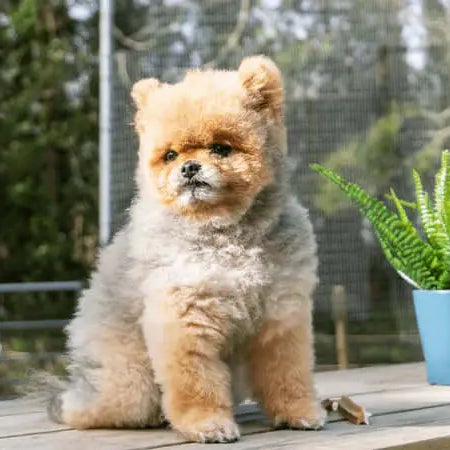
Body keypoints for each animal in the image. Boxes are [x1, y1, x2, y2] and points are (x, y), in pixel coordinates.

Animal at [47, 56, 326, 442]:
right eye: (170, 155)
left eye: (221, 148)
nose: (189, 166)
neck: (225, 233)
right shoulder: (184, 316)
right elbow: (196, 381)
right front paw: (207, 423)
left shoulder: (281, 315)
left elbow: (288, 374)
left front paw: (298, 412)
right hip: (131, 384)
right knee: (90, 410)